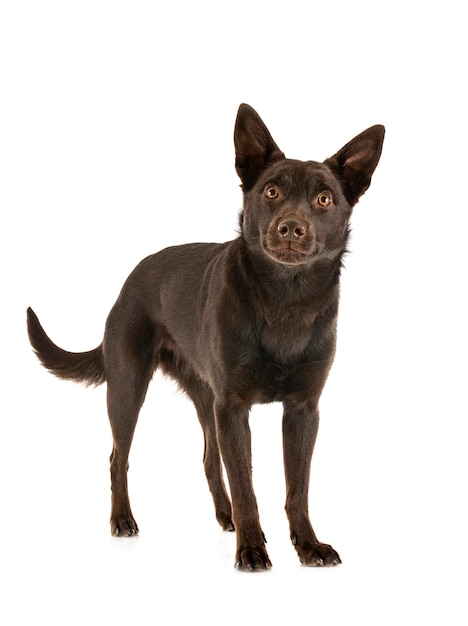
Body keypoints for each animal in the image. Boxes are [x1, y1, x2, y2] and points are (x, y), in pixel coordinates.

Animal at [26, 105, 384, 568]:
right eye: (271, 192)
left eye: (324, 199)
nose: (291, 228)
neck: (286, 298)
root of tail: (130, 279)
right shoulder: (233, 407)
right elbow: (246, 485)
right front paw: (251, 549)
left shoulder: (301, 410)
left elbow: (298, 487)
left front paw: (307, 544)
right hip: (128, 388)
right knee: (118, 458)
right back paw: (123, 519)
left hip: (205, 400)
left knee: (210, 460)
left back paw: (224, 515)